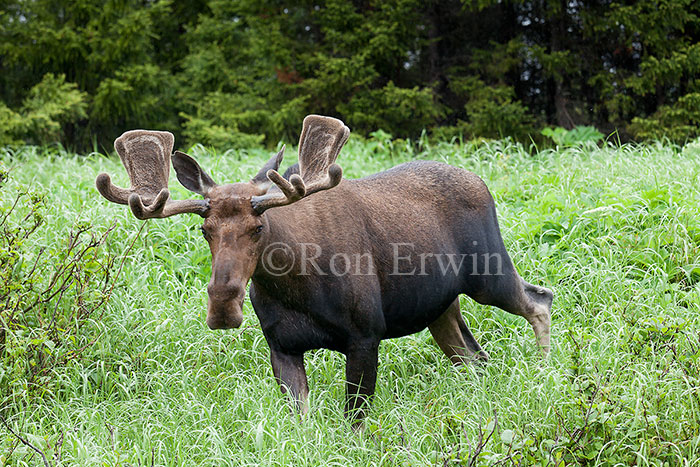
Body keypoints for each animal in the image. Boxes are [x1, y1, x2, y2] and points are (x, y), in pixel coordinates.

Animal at [95, 115, 552, 426]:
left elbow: (355, 421)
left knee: (539, 299)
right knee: (475, 356)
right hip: (440, 307)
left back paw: (546, 373)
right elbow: (301, 422)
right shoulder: (282, 347)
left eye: (259, 226)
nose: (223, 306)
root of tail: (481, 180)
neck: (298, 287)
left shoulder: (365, 335)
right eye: (204, 229)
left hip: (489, 272)